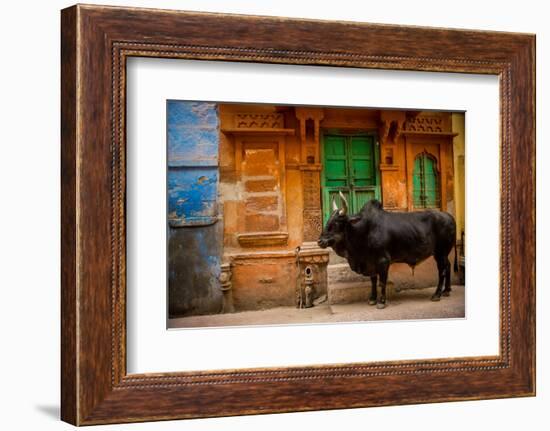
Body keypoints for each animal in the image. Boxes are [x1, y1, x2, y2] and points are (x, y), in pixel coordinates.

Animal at [316, 194, 460, 308]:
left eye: (335, 223)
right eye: (328, 221)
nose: (320, 241)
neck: (364, 231)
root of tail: (450, 217)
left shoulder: (383, 261)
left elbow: (382, 281)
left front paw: (381, 302)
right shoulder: (371, 263)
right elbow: (373, 280)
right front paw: (372, 299)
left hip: (440, 252)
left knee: (442, 271)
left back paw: (437, 295)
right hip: (443, 253)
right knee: (448, 266)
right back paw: (447, 291)